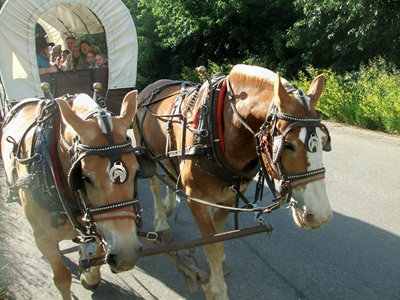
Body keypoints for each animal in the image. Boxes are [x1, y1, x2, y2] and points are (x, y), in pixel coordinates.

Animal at [0, 91, 145, 300]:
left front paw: (88, 272)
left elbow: (96, 250)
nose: (127, 256)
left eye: (136, 171)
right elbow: (61, 277)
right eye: (85, 177)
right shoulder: (42, 237)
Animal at [136, 64, 332, 298]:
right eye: (288, 145)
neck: (219, 130)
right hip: (146, 153)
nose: (320, 215)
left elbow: (218, 231)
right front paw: (217, 290)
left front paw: (219, 265)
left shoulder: (230, 196)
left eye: (324, 141)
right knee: (155, 185)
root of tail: (153, 85)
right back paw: (162, 223)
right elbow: (211, 243)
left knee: (169, 175)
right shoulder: (196, 199)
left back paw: (169, 206)